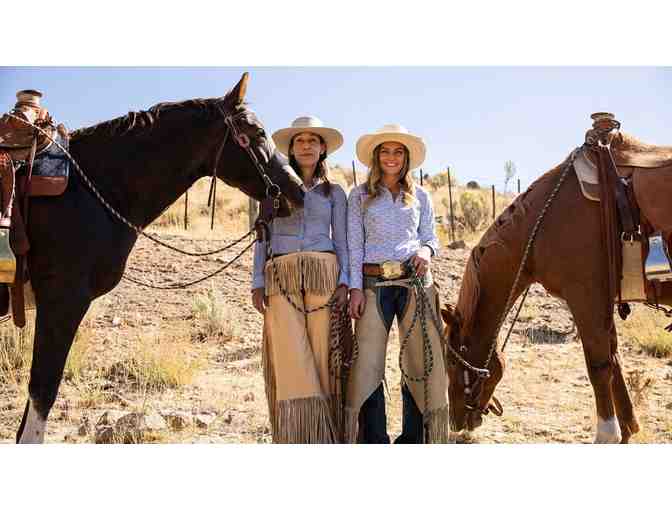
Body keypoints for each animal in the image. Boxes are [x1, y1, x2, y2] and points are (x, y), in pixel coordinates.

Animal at [440, 129, 672, 444]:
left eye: (451, 362)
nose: (455, 420)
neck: (542, 227)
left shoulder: (585, 299)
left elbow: (599, 365)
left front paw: (607, 433)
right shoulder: (601, 303)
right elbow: (615, 359)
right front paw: (628, 428)